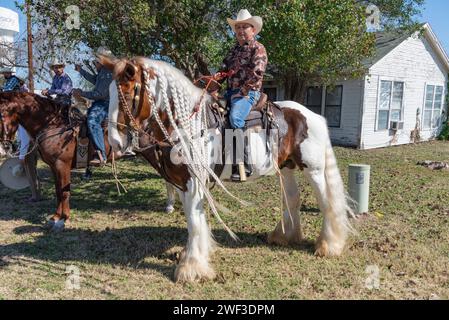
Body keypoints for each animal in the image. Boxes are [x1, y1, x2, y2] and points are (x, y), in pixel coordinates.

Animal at [0, 91, 177, 231]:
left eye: (2, 113)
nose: (6, 146)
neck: (54, 125)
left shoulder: (62, 165)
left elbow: (64, 192)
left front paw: (63, 220)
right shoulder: (54, 167)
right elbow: (58, 191)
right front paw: (55, 217)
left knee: (169, 178)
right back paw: (170, 205)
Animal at [103, 55, 356, 282]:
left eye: (128, 92)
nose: (114, 142)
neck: (187, 125)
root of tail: (314, 116)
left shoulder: (193, 183)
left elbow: (194, 221)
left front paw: (191, 269)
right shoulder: (185, 182)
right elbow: (194, 220)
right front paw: (196, 257)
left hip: (313, 169)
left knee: (327, 203)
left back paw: (329, 245)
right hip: (286, 168)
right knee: (293, 199)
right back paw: (284, 236)